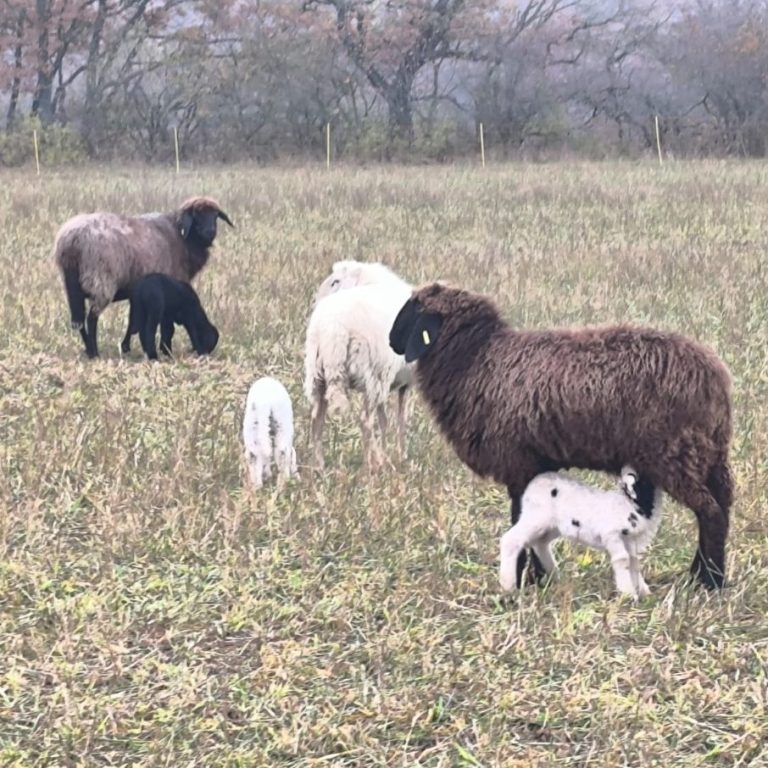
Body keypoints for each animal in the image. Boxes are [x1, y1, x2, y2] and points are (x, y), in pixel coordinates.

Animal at [53, 196, 233, 358]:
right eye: (196, 214)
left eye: (215, 215)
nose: (210, 232)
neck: (181, 236)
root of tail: (71, 240)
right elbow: (166, 326)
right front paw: (165, 350)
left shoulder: (138, 295)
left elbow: (134, 321)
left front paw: (127, 347)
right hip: (101, 281)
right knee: (92, 318)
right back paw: (95, 352)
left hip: (72, 286)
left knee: (78, 320)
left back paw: (89, 350)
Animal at [304, 268, 414, 470]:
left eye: (335, 282)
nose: (314, 301)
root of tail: (334, 328)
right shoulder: (399, 381)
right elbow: (400, 419)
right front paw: (400, 456)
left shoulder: (392, 382)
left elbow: (385, 420)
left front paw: (389, 452)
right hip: (373, 374)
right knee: (365, 421)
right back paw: (371, 465)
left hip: (318, 375)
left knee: (316, 418)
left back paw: (319, 465)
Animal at [499, 466, 664, 599]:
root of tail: (534, 483)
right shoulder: (612, 535)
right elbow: (622, 560)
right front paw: (628, 594)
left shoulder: (630, 539)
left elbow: (634, 562)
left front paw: (644, 593)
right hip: (535, 518)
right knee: (511, 540)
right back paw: (508, 587)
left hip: (552, 526)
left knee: (540, 543)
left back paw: (556, 577)